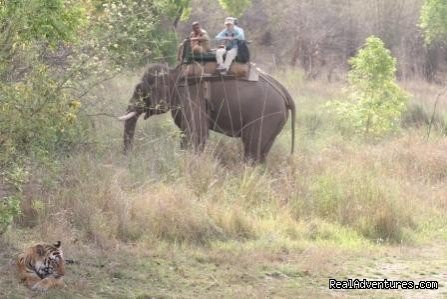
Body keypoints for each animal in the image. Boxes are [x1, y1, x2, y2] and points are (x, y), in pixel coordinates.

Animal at [118, 62, 298, 162]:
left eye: (139, 91)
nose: (127, 158)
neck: (174, 72)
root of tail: (285, 93)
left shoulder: (191, 95)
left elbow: (196, 132)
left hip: (267, 116)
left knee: (252, 148)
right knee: (261, 151)